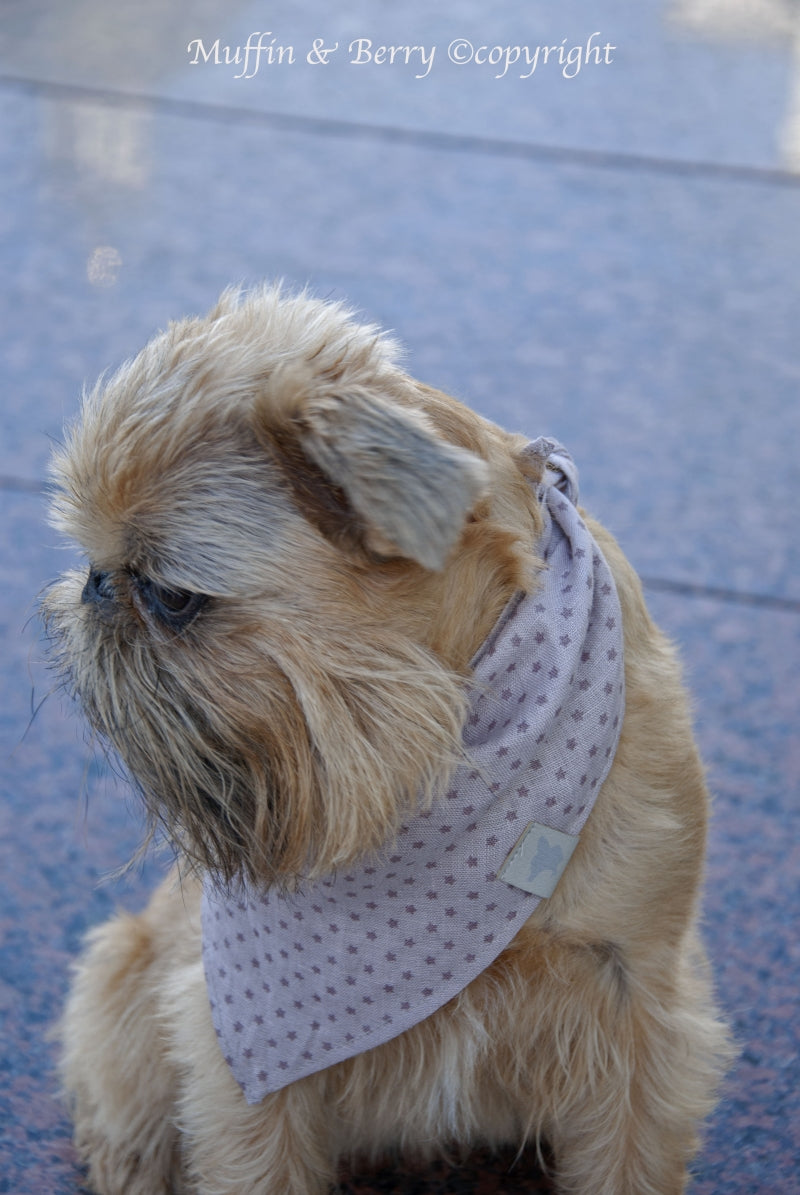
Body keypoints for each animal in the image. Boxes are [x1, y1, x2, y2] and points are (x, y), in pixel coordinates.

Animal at [43, 284, 731, 1190]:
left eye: (170, 595)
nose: (94, 586)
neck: (438, 754)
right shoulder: (241, 1039)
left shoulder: (636, 1006)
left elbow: (628, 1159)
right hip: (125, 963)